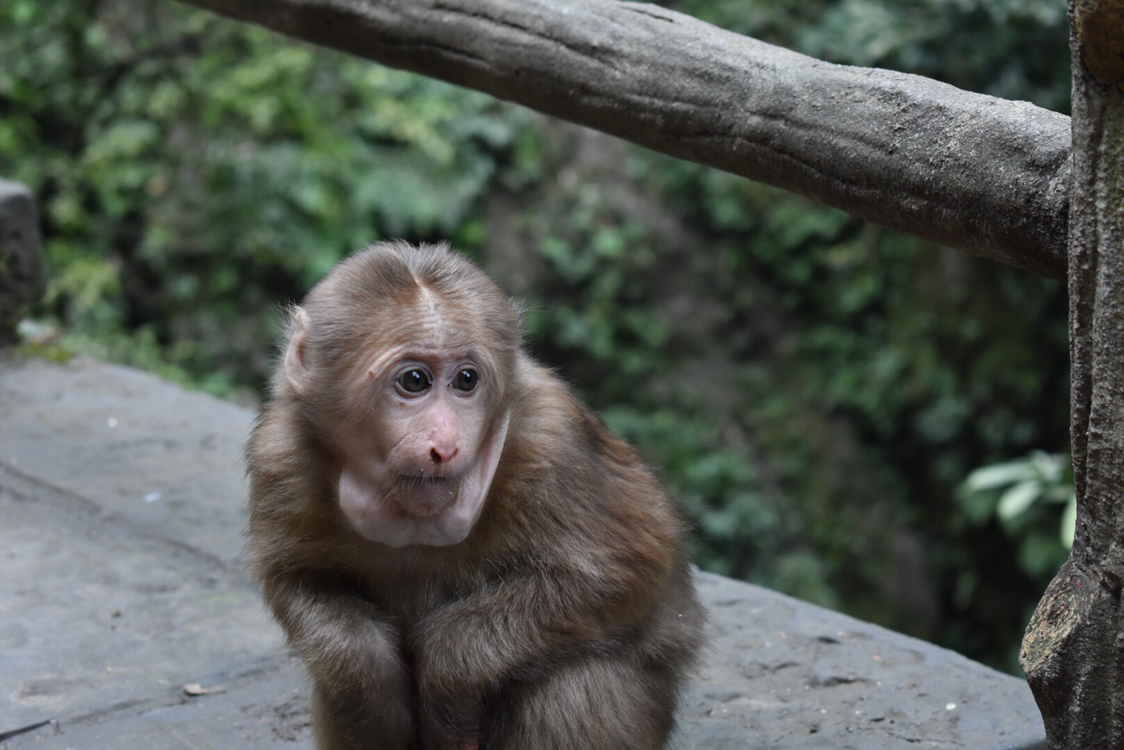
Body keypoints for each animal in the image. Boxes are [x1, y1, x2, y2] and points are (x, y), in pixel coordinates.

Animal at [246, 240, 701, 750]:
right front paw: (371, 682)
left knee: (577, 685)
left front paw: (450, 676)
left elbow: (625, 570)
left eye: (466, 380)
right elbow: (298, 581)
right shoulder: (279, 457)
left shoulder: (554, 439)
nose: (446, 445)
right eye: (415, 381)